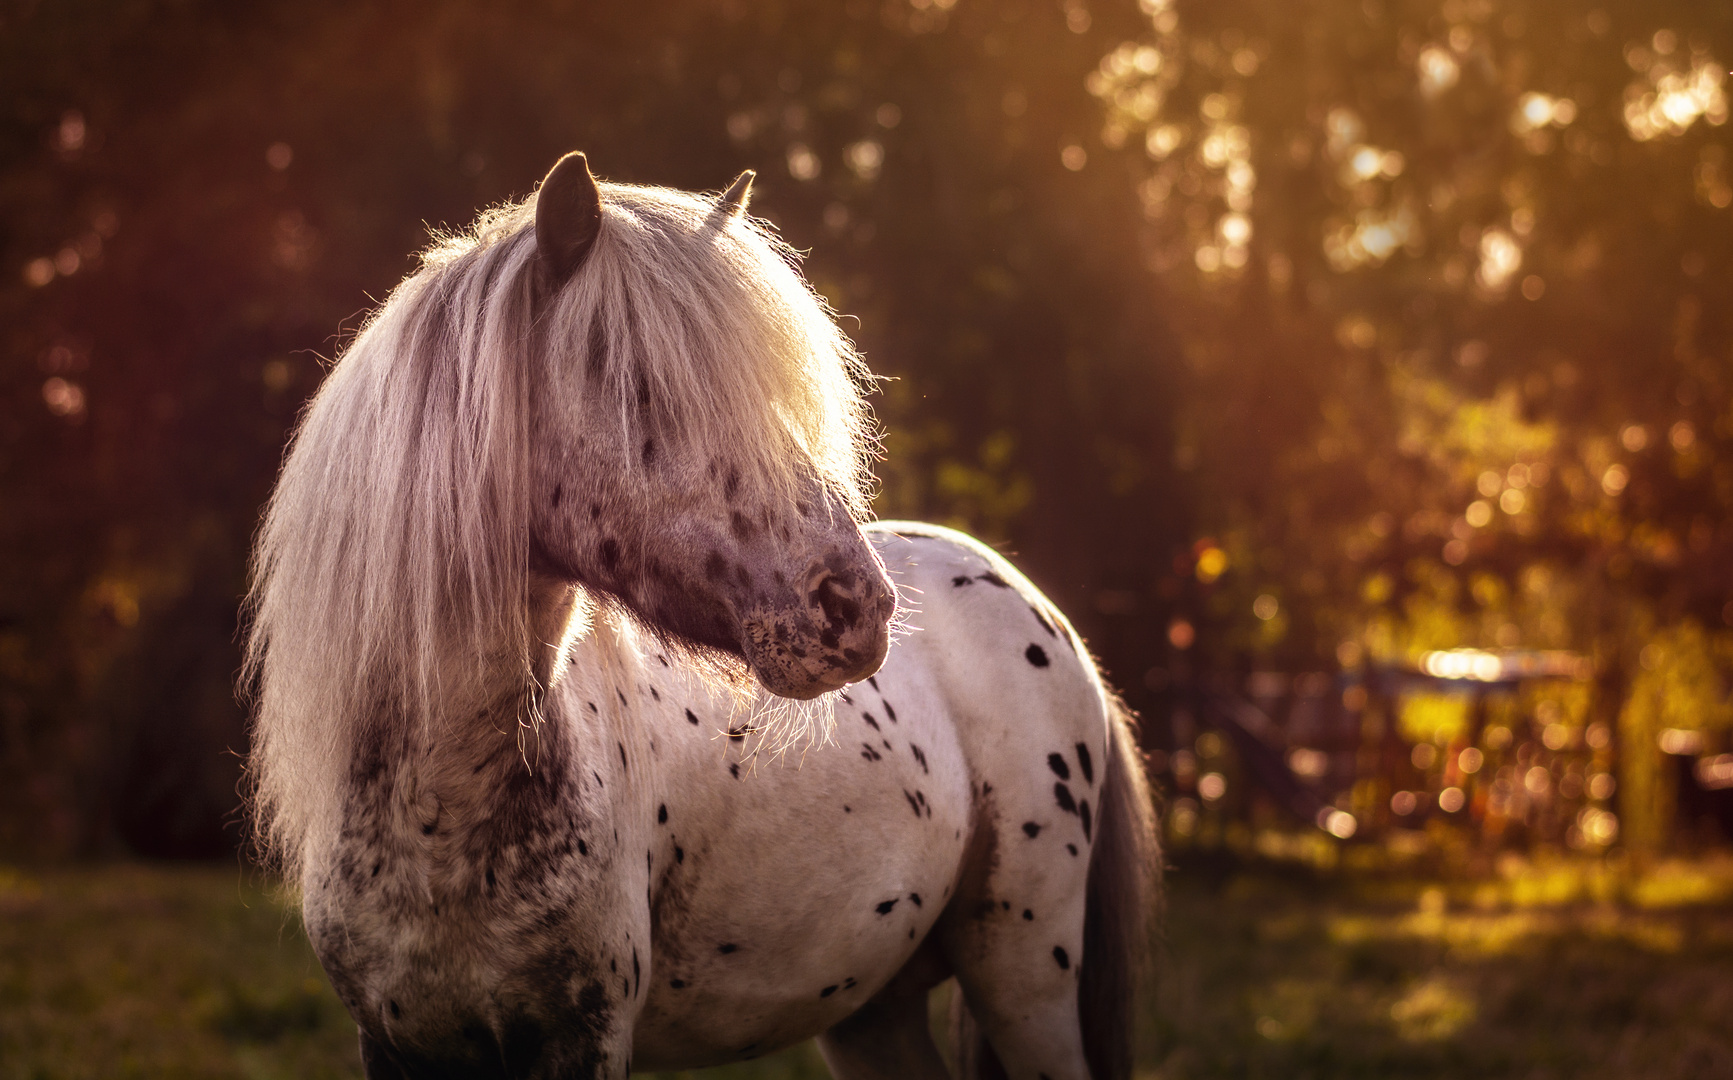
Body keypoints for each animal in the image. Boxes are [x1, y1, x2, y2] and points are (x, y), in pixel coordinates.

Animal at [244, 152, 1157, 1080]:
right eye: (643, 390)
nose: (859, 609)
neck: (438, 816)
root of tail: (1031, 602)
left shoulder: (584, 1038)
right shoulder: (395, 1043)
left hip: (1023, 977)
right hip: (873, 1010)